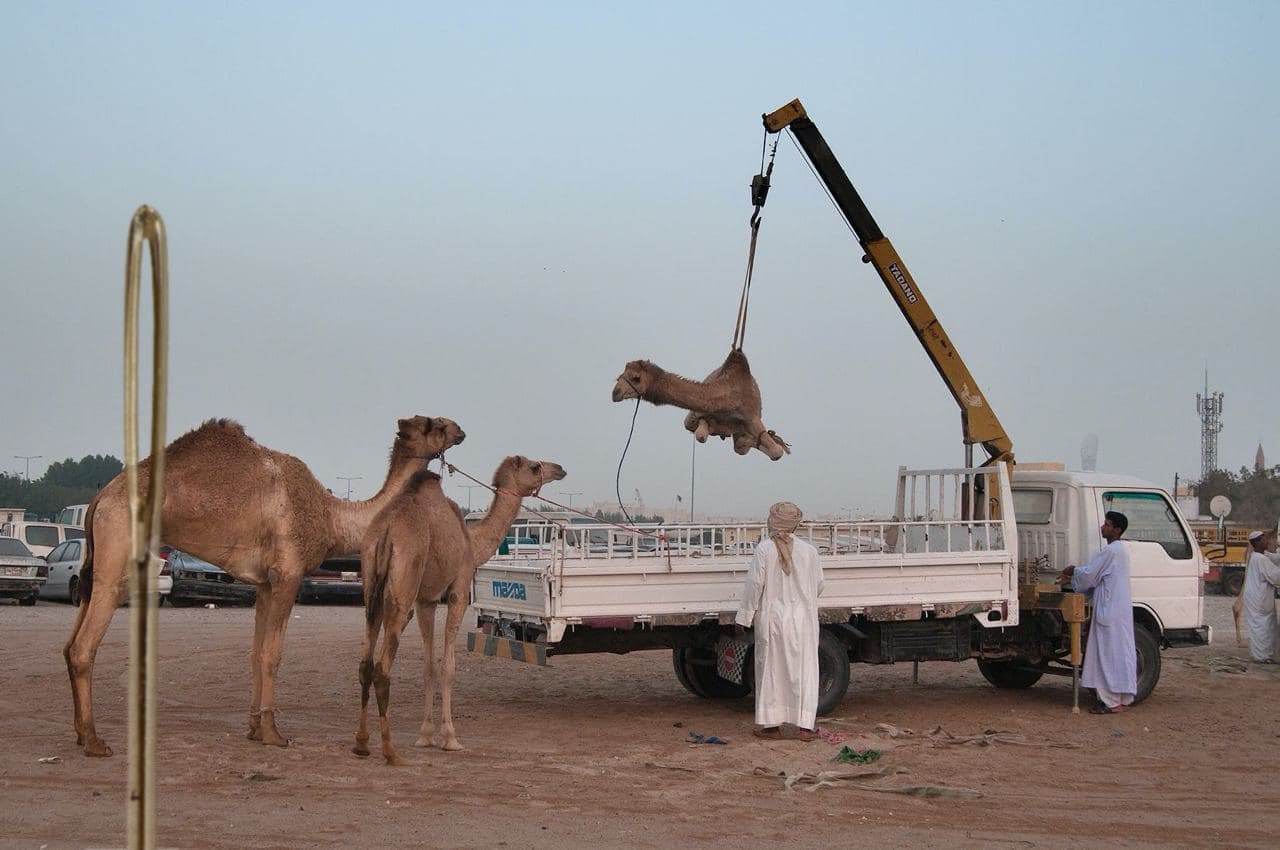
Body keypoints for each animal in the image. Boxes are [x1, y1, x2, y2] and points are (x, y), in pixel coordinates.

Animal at [63, 414, 465, 752]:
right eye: (433, 424)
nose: (461, 430)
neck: (332, 516)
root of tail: (101, 497)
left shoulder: (264, 583)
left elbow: (256, 654)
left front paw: (255, 728)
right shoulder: (288, 574)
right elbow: (273, 654)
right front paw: (274, 734)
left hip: (94, 563)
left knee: (69, 642)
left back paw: (81, 732)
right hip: (118, 550)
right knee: (84, 645)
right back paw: (95, 741)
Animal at [353, 455, 568, 768]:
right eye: (534, 466)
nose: (560, 469)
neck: (472, 541)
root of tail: (386, 534)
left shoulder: (426, 600)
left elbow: (429, 666)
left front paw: (425, 735)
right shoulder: (458, 590)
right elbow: (449, 667)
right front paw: (450, 738)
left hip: (371, 587)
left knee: (365, 664)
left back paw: (361, 743)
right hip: (403, 586)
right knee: (382, 669)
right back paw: (391, 751)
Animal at [609, 348, 788, 460]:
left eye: (636, 378)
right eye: (620, 375)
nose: (615, 393)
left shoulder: (751, 417)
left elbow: (776, 452)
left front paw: (777, 442)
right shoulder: (695, 417)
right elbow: (701, 435)